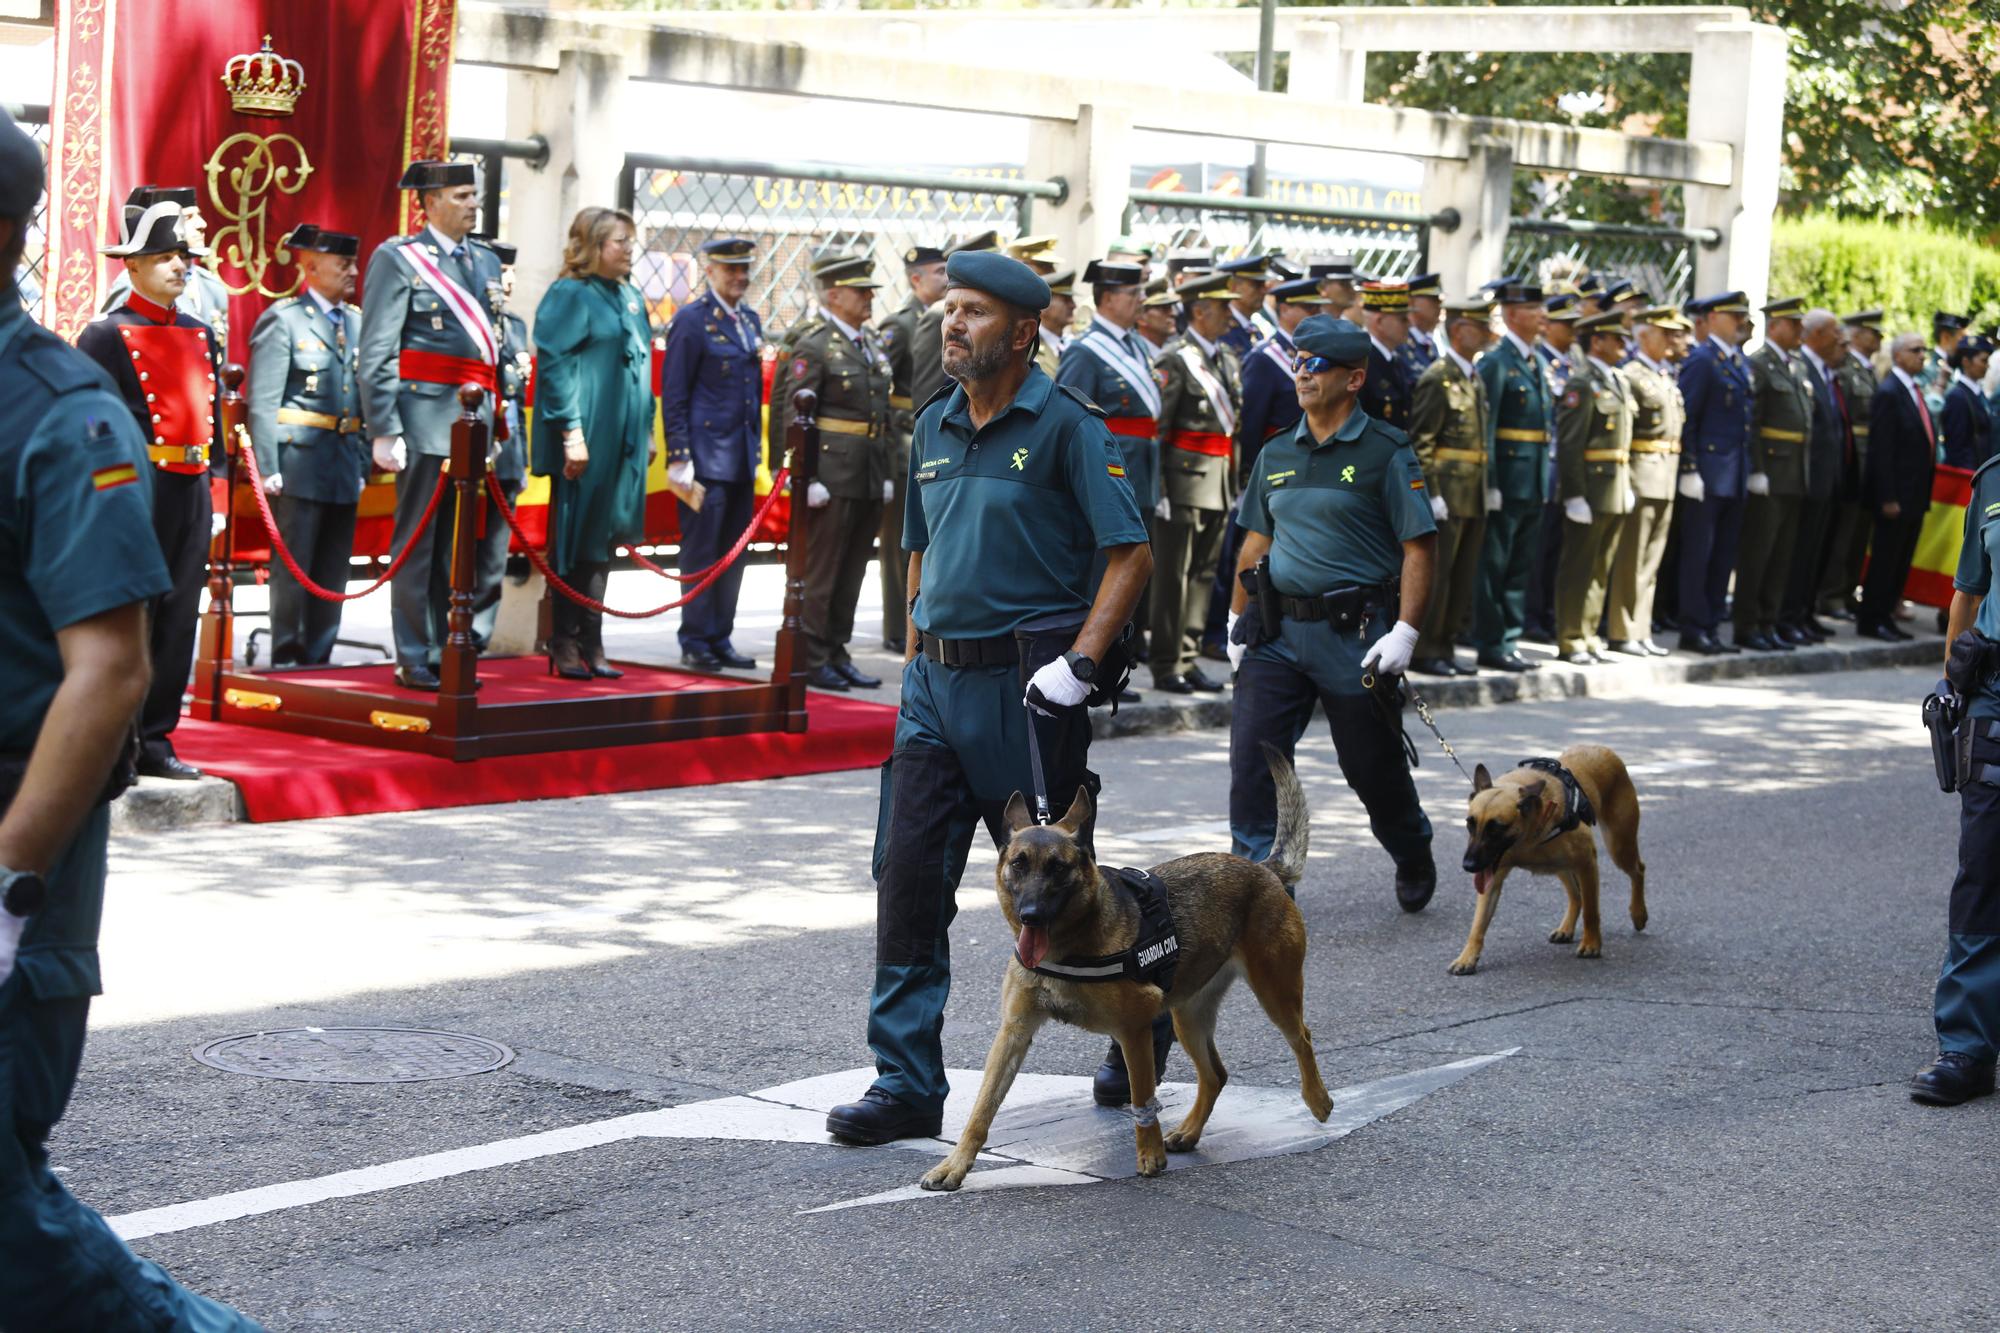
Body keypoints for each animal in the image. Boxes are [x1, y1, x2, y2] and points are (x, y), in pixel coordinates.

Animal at [916, 740, 1328, 1184]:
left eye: (1057, 868)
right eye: (1019, 864)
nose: (1030, 916)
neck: (1070, 945)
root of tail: (1262, 868)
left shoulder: (1134, 1031)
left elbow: (1142, 1097)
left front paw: (1148, 1155)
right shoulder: (1013, 1032)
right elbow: (982, 1107)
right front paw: (956, 1164)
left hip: (1274, 991)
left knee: (1302, 1037)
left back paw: (1318, 1100)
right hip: (1188, 1016)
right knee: (1215, 1075)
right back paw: (1189, 1131)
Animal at [1448, 736, 1648, 976]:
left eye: (1496, 829)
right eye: (1470, 823)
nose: (1468, 866)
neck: (1528, 835)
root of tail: (1601, 749)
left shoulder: (1588, 863)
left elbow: (1591, 912)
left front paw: (1592, 944)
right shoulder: (1492, 880)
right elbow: (1478, 925)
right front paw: (1467, 957)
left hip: (1618, 846)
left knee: (1638, 870)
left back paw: (1638, 913)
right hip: (1560, 866)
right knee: (1576, 895)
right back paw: (1566, 928)